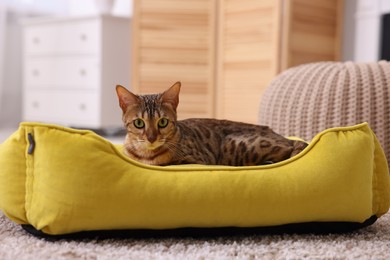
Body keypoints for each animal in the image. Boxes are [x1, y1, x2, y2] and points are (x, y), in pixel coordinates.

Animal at [116, 82, 308, 166]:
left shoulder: (196, 161)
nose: (151, 137)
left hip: (237, 144)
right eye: (139, 123)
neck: (146, 156)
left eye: (162, 122)